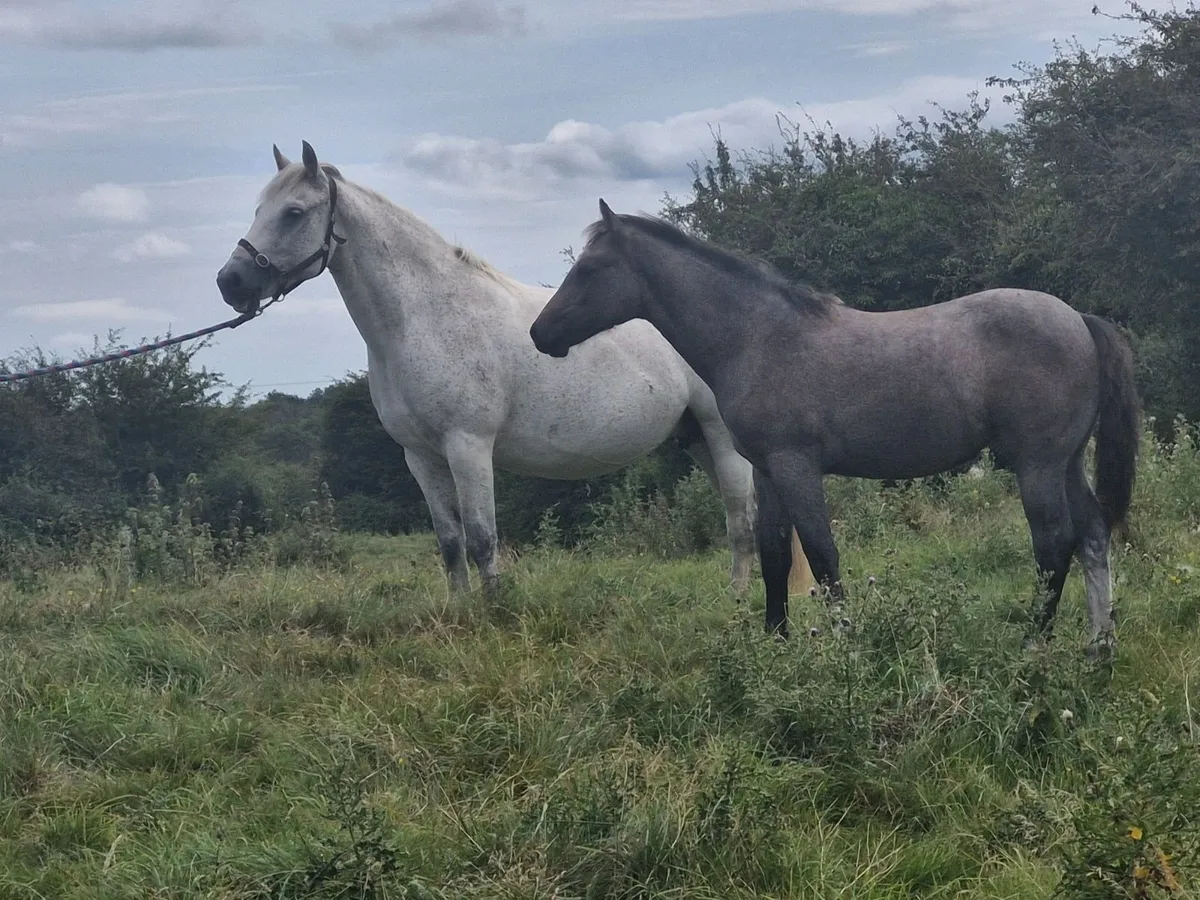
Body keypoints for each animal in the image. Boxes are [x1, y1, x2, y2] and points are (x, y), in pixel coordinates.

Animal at [215, 142, 813, 598]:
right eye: (257, 208)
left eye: (294, 212)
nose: (231, 282)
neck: (424, 317)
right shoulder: (420, 457)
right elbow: (450, 543)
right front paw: (458, 612)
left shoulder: (468, 445)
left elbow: (483, 538)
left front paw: (495, 615)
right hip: (695, 439)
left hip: (720, 435)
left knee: (740, 518)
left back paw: (737, 597)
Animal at [530, 200, 1141, 656]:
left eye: (588, 270)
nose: (540, 334)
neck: (757, 338)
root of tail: (1079, 321)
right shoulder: (767, 470)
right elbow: (776, 555)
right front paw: (776, 645)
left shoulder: (797, 466)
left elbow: (822, 555)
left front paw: (845, 647)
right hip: (1065, 462)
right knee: (1092, 536)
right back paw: (1099, 645)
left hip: (1037, 464)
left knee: (1054, 543)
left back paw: (1033, 645)